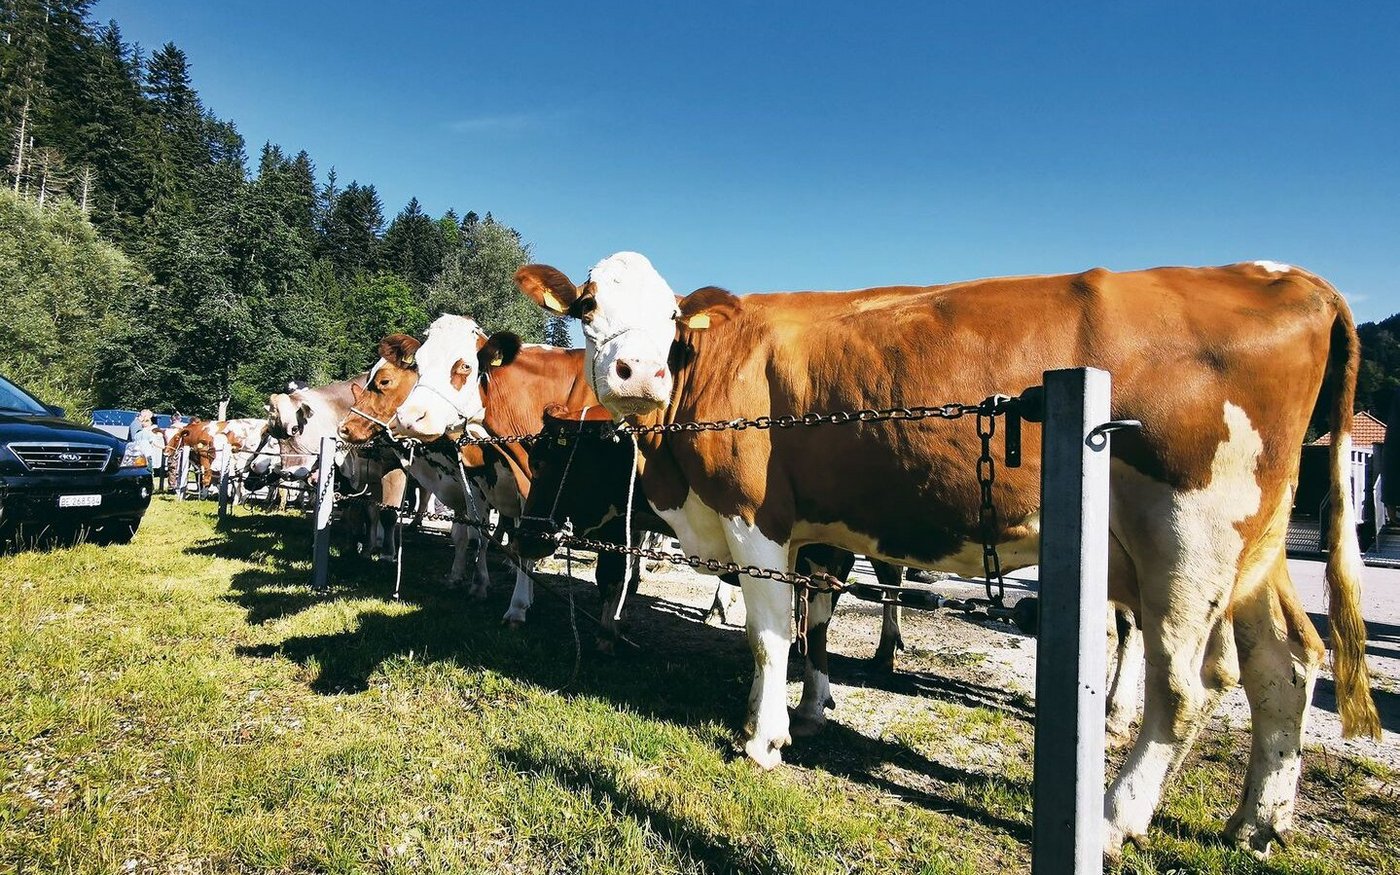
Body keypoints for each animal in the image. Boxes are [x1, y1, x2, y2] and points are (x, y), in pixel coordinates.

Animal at [508, 252, 1379, 857]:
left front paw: (762, 738)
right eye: (588, 307)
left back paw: (1113, 817)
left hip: (1187, 539)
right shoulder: (814, 529)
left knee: (1188, 687)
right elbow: (805, 628)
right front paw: (795, 711)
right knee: (1284, 665)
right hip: (1252, 547)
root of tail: (1283, 275)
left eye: (671, 317)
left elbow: (768, 636)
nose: (639, 372)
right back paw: (1258, 821)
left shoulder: (758, 516)